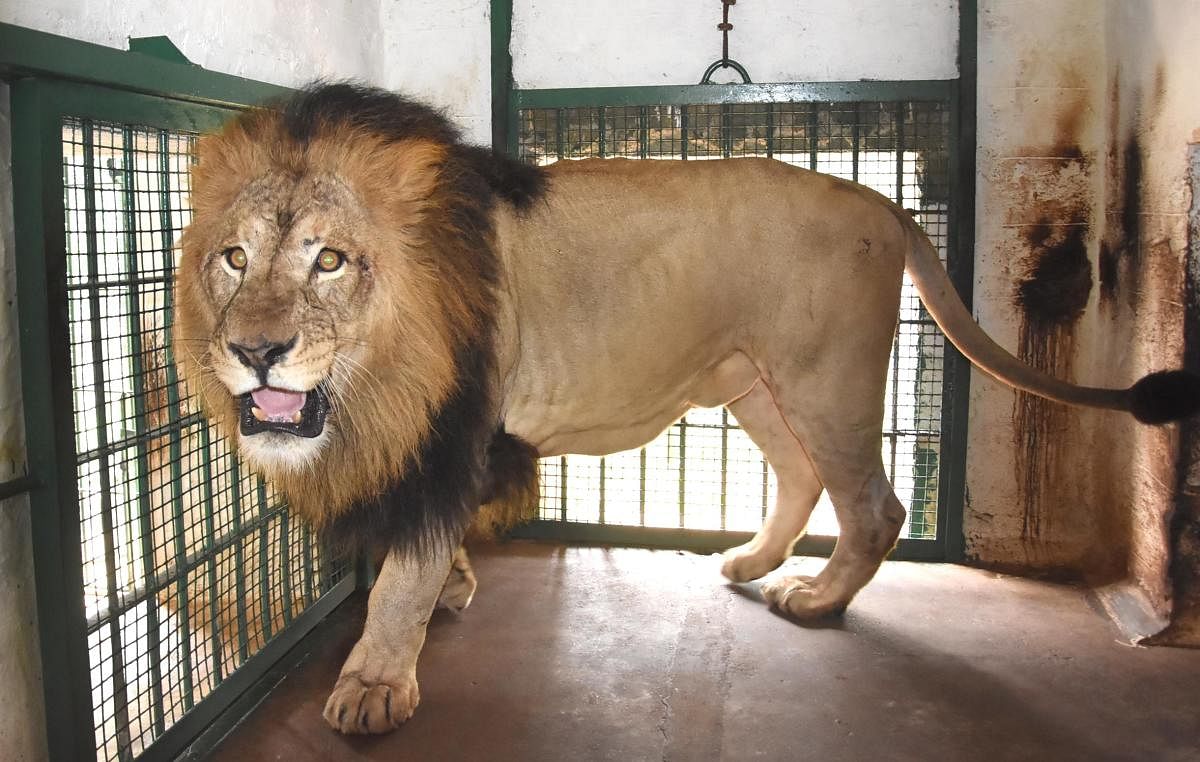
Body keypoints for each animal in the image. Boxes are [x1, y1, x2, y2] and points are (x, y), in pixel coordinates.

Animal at [175, 83, 1200, 734]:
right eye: (234, 257)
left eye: (330, 259)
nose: (253, 352)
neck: (377, 376)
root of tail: (876, 198)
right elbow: (424, 547)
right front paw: (455, 589)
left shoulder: (455, 425)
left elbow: (402, 570)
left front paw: (376, 682)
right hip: (754, 383)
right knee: (799, 479)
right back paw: (749, 561)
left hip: (825, 379)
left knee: (875, 503)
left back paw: (816, 600)